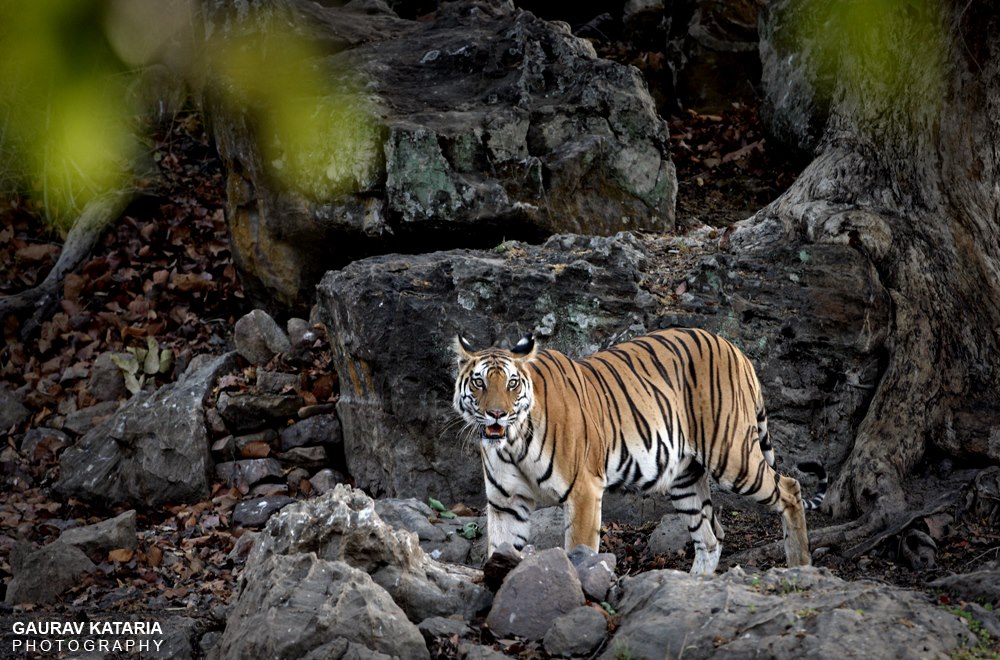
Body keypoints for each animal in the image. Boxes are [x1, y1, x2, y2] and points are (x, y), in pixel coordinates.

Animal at [454, 328, 828, 576]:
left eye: (512, 383)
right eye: (479, 382)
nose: (496, 414)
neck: (513, 443)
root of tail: (734, 348)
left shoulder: (584, 491)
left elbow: (579, 549)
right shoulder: (505, 502)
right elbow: (499, 548)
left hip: (732, 455)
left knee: (790, 488)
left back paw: (800, 566)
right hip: (685, 479)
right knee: (711, 536)